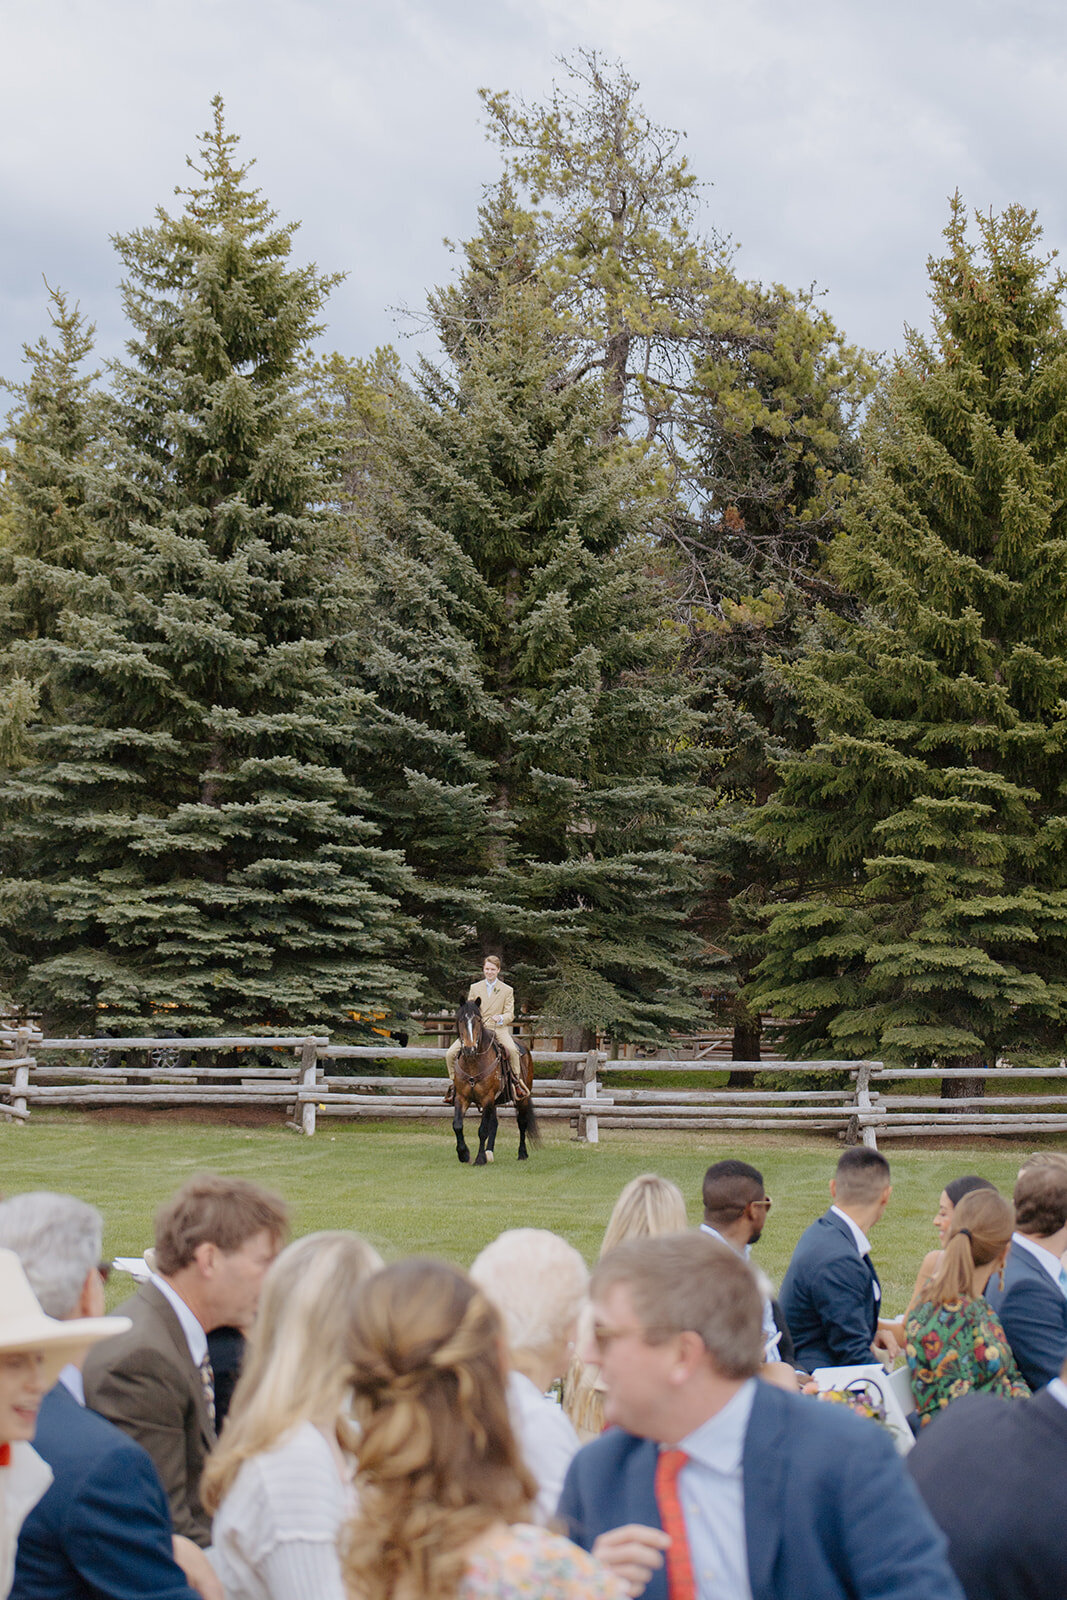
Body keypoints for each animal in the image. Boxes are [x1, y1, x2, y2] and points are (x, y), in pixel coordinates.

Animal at [451, 998, 537, 1164]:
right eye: (461, 1020)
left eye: (478, 1020)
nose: (469, 1049)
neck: (473, 1063)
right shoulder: (462, 1097)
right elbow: (457, 1125)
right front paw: (463, 1154)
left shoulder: (487, 1098)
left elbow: (482, 1130)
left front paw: (479, 1159)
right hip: (494, 1102)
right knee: (495, 1124)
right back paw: (489, 1152)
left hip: (521, 1099)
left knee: (522, 1123)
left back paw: (522, 1153)